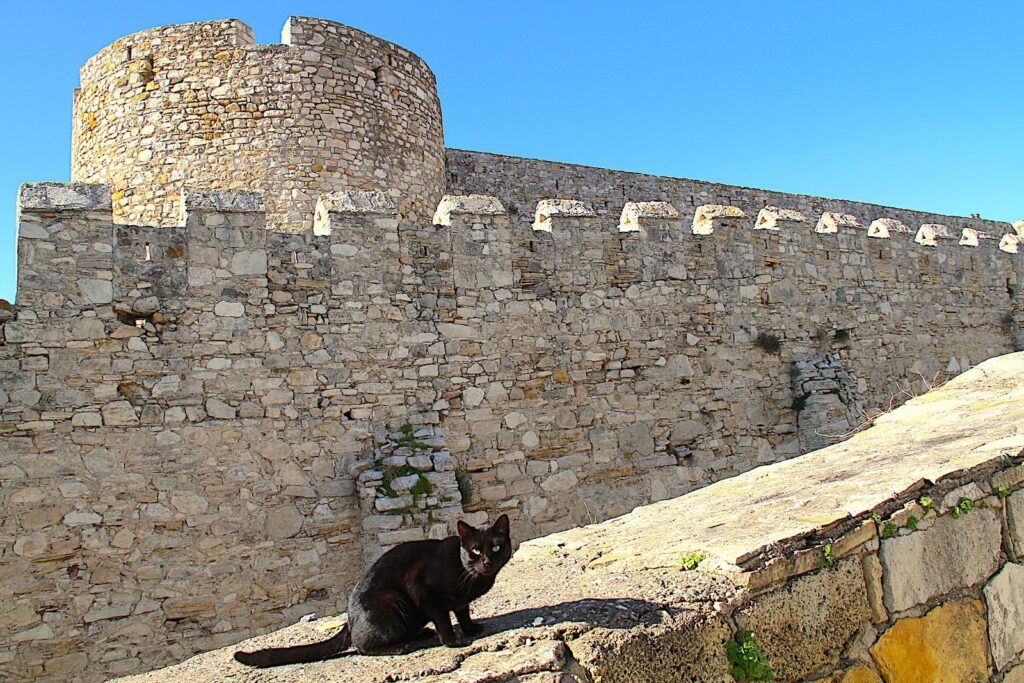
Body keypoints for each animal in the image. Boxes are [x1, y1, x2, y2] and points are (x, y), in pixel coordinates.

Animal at [235, 511, 516, 667]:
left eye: (495, 547)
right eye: (476, 550)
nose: (487, 562)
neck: (469, 575)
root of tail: (349, 621)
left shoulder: (459, 600)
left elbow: (463, 612)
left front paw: (471, 628)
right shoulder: (427, 593)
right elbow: (444, 619)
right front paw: (452, 641)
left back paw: (420, 633)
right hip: (393, 602)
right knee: (362, 647)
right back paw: (398, 647)